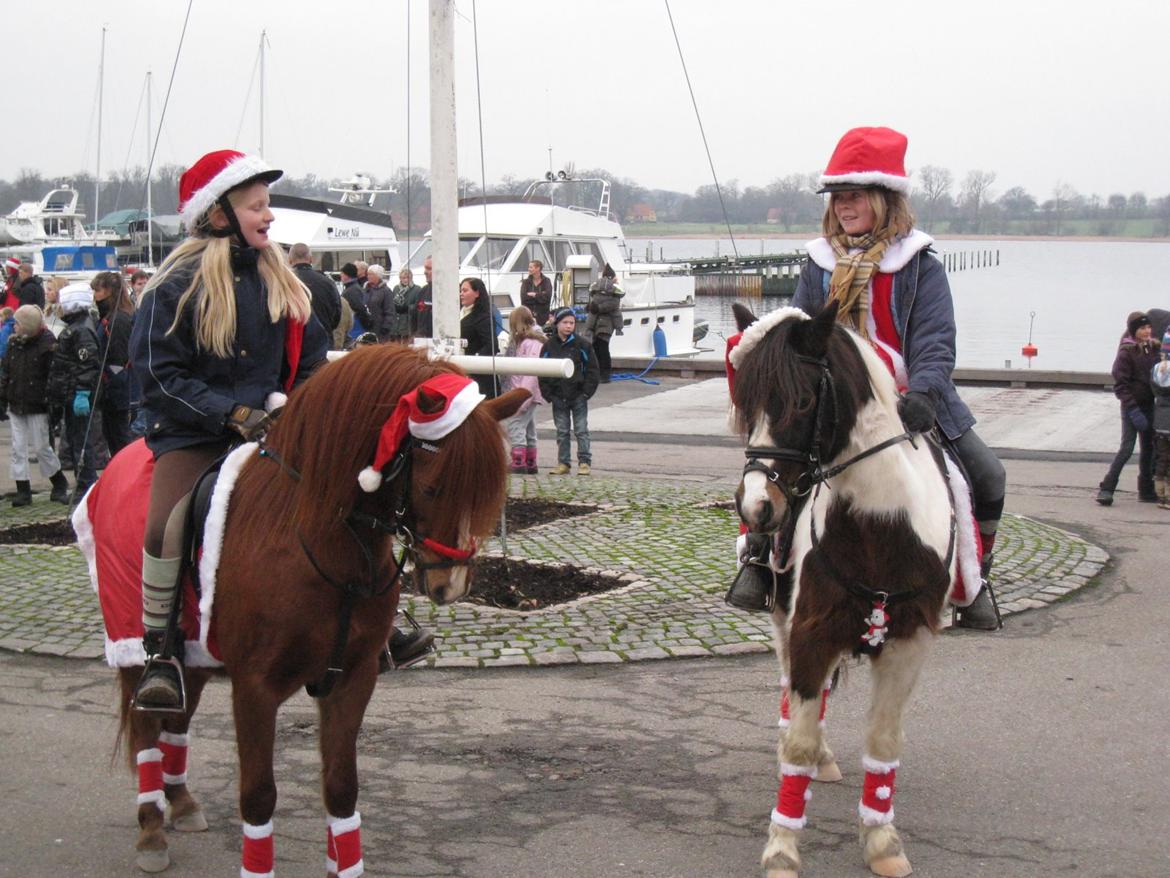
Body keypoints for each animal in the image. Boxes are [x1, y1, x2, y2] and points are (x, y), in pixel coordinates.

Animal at [102, 346, 524, 875]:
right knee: (146, 730)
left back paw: (181, 804)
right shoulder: (255, 688)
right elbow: (259, 795)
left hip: (194, 654)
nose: (451, 585)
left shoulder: (353, 678)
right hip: (135, 649)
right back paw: (152, 829)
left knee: (176, 721)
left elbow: (342, 789)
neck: (315, 541)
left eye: (489, 490)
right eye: (432, 488)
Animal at [734, 304, 954, 878]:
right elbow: (800, 743)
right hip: (785, 621)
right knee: (792, 694)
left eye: (802, 402)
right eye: (744, 405)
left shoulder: (907, 646)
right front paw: (782, 849)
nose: (755, 507)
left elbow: (884, 741)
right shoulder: (810, 632)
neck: (879, 529)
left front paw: (881, 841)